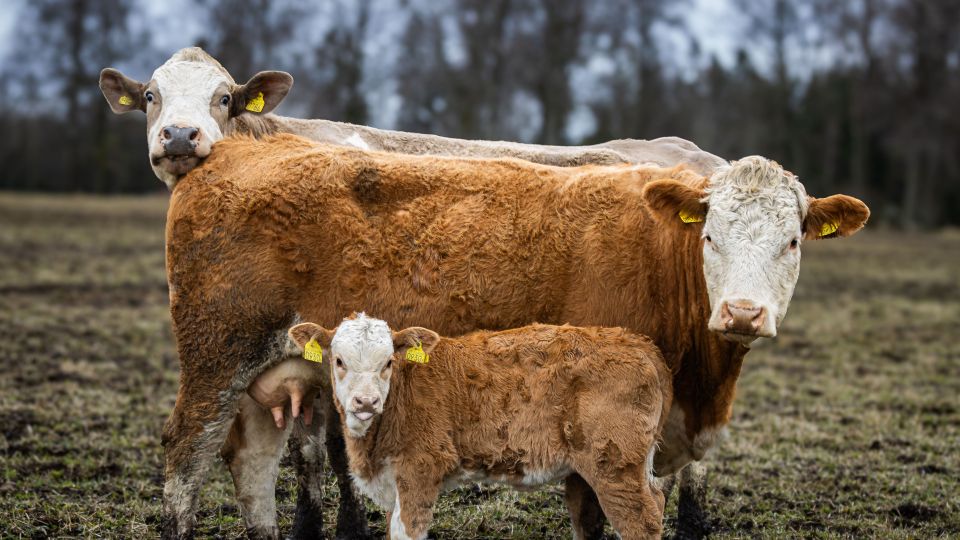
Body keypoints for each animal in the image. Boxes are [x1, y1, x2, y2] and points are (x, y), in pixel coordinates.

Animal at [280, 314, 671, 540]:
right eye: (338, 360)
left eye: (388, 361)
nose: (365, 402)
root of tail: (637, 343)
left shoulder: (421, 470)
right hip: (631, 465)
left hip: (614, 465)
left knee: (643, 521)